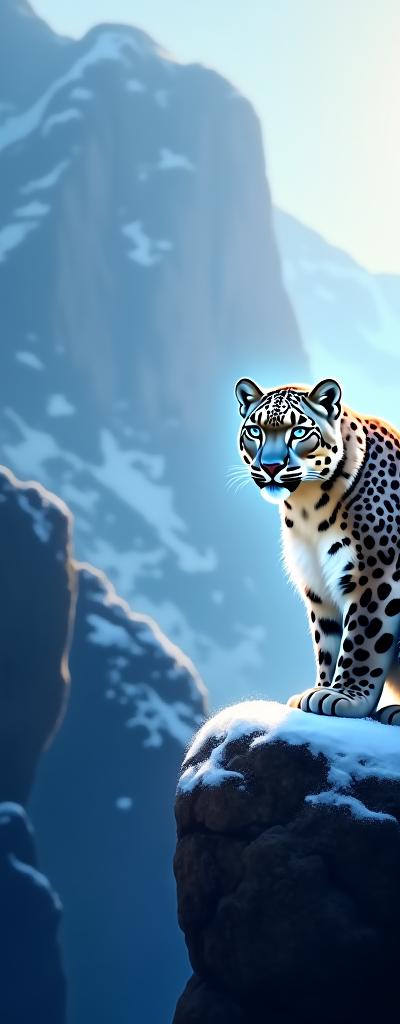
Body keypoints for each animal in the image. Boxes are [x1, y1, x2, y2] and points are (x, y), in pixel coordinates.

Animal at [235, 375, 400, 724]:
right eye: (254, 430)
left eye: (299, 432)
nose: (270, 466)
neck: (307, 509)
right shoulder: (317, 585)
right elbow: (327, 643)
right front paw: (317, 691)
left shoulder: (377, 575)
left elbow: (364, 639)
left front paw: (344, 696)